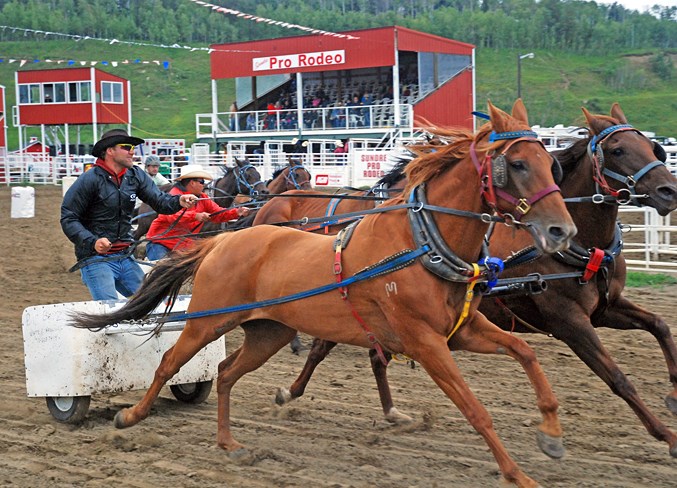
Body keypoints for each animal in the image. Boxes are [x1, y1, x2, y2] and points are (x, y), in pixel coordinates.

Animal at [70, 100, 576, 488]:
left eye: (551, 164)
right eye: (516, 164)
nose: (562, 231)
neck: (421, 244)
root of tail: (224, 241)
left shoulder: (462, 329)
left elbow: (526, 352)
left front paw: (551, 435)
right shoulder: (425, 342)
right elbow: (475, 409)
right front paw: (517, 474)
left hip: (268, 332)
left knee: (228, 371)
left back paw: (229, 443)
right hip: (208, 320)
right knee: (171, 362)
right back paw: (131, 418)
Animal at [274, 102, 676, 458]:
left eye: (652, 146)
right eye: (618, 150)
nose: (668, 190)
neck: (585, 247)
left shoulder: (605, 308)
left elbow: (659, 325)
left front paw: (672, 394)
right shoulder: (570, 321)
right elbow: (618, 378)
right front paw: (666, 436)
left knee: (371, 352)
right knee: (324, 346)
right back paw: (292, 390)